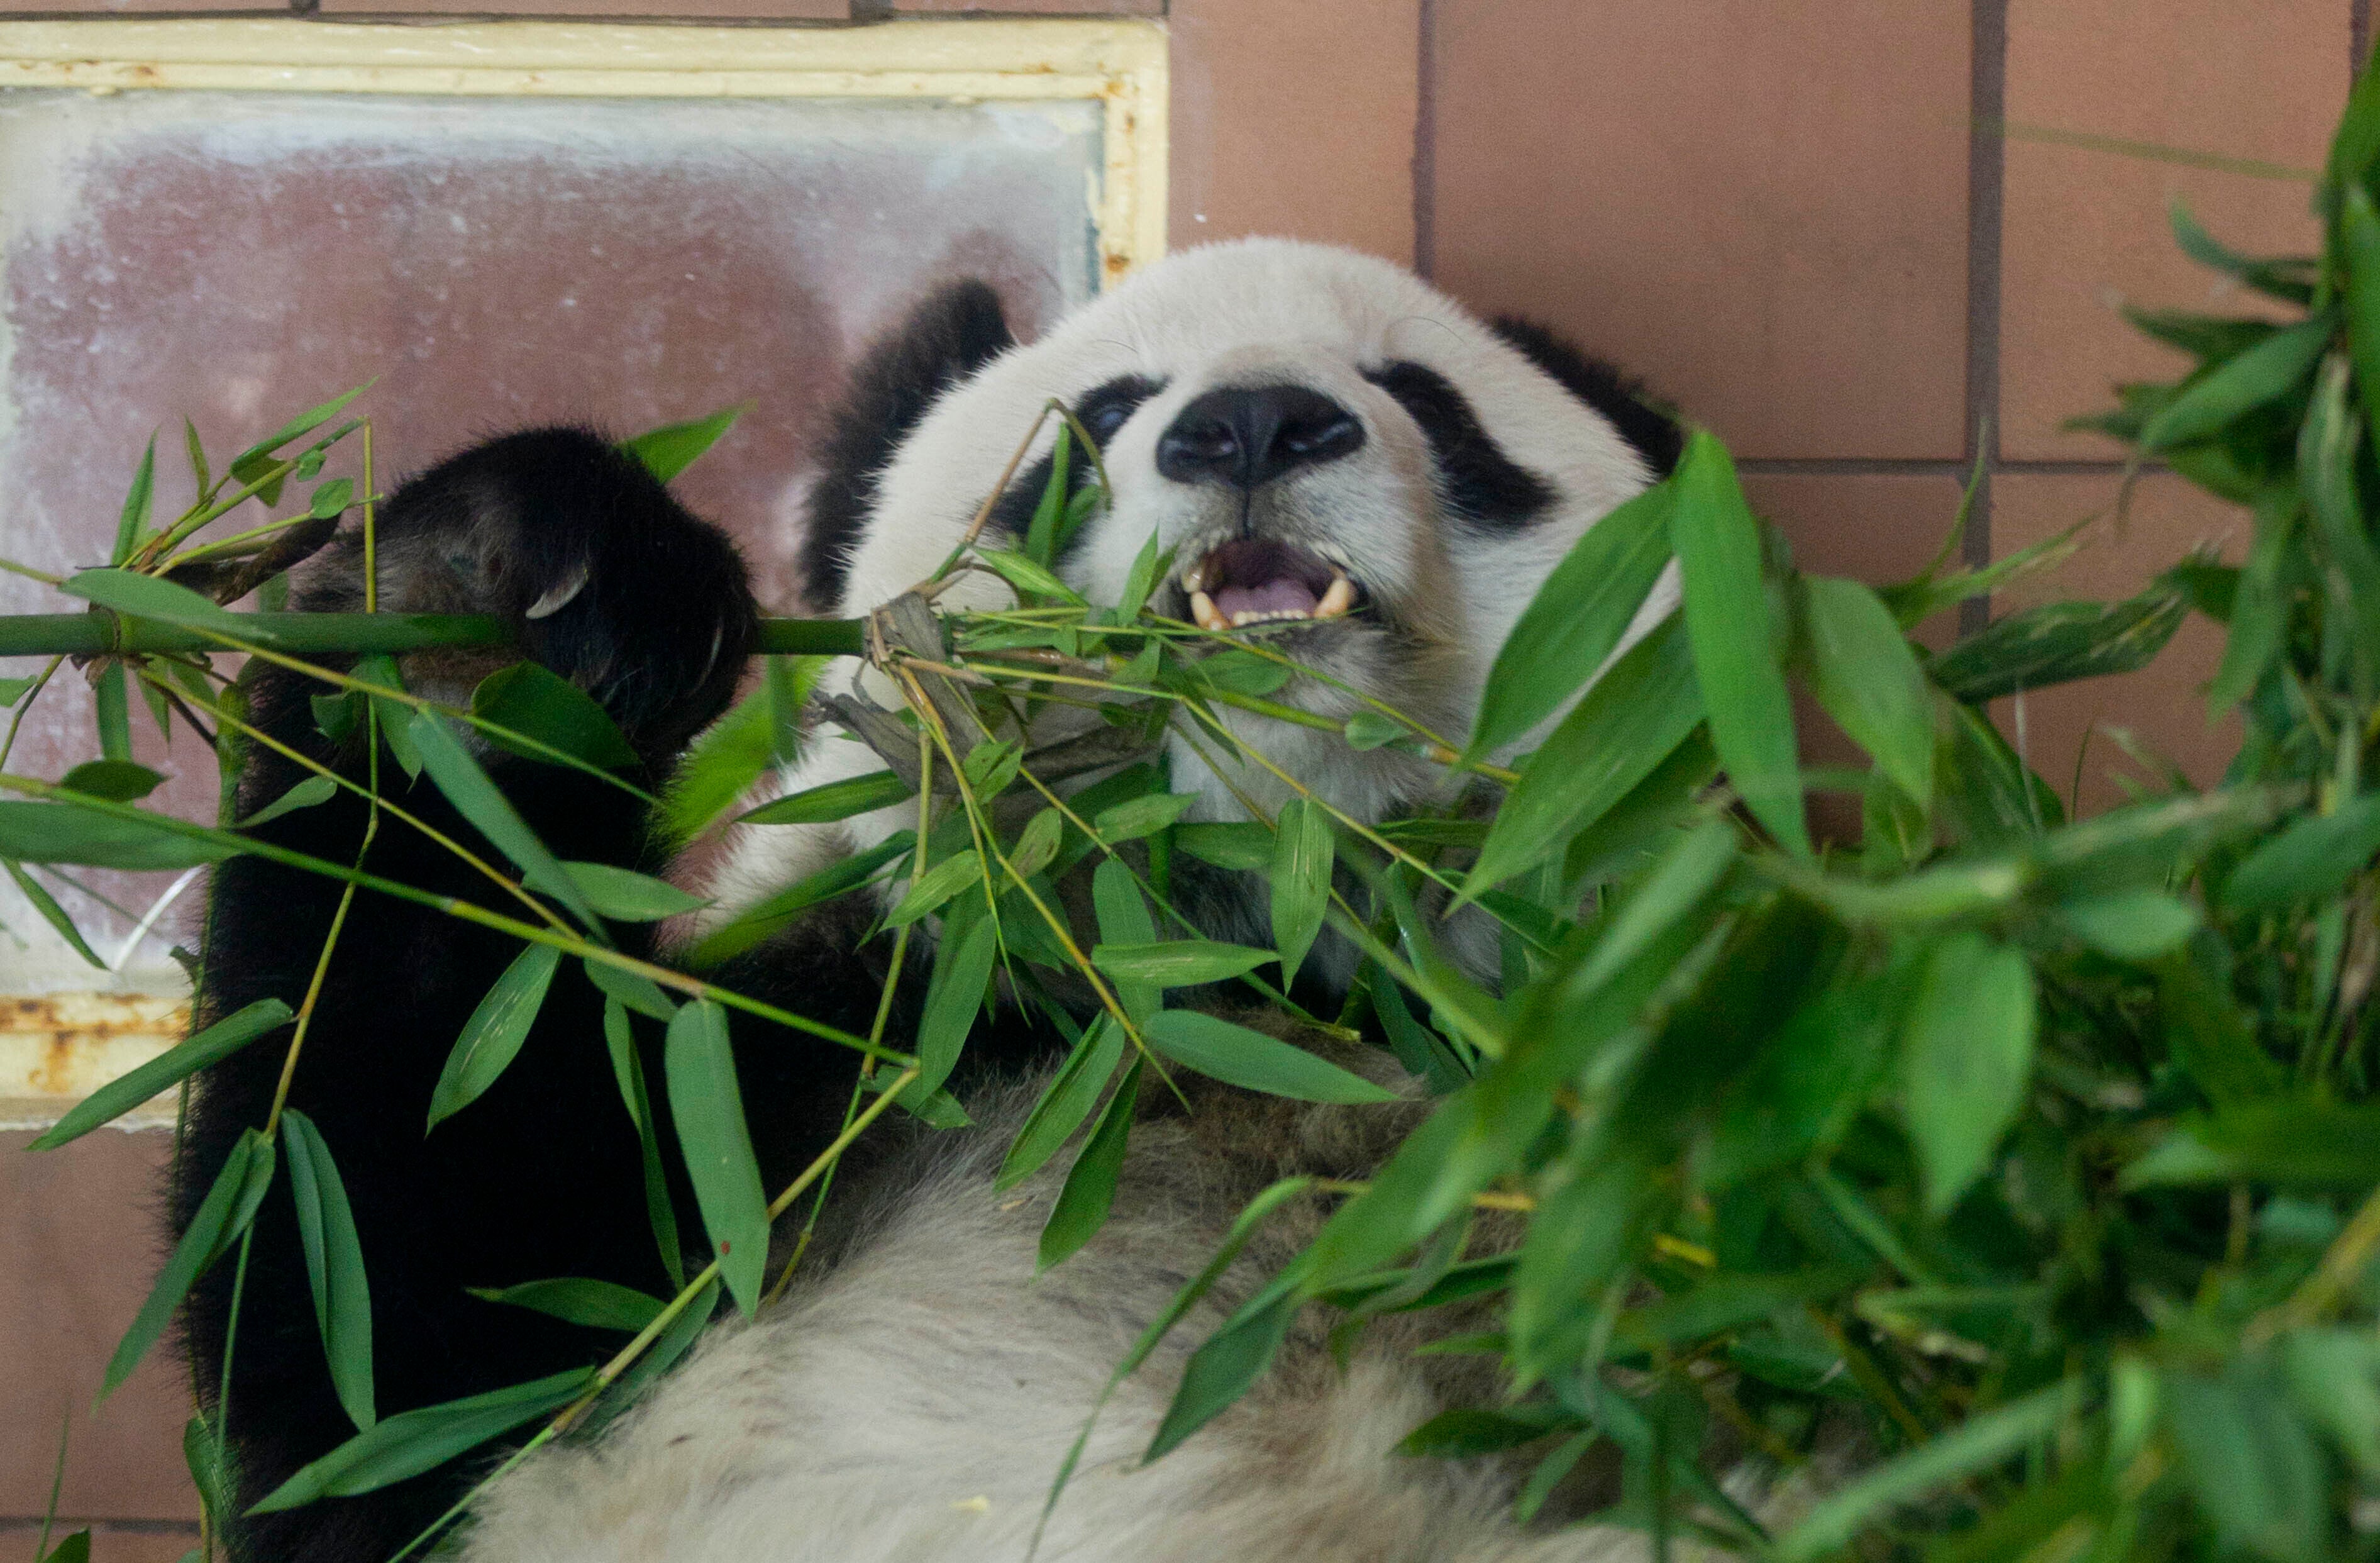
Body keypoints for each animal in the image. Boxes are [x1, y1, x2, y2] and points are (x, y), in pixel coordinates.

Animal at [172, 234, 1675, 1560]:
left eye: (1429, 399)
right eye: (1101, 416)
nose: (1252, 423)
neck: (1218, 966)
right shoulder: (813, 1075)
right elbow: (378, 1308)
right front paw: (487, 617)